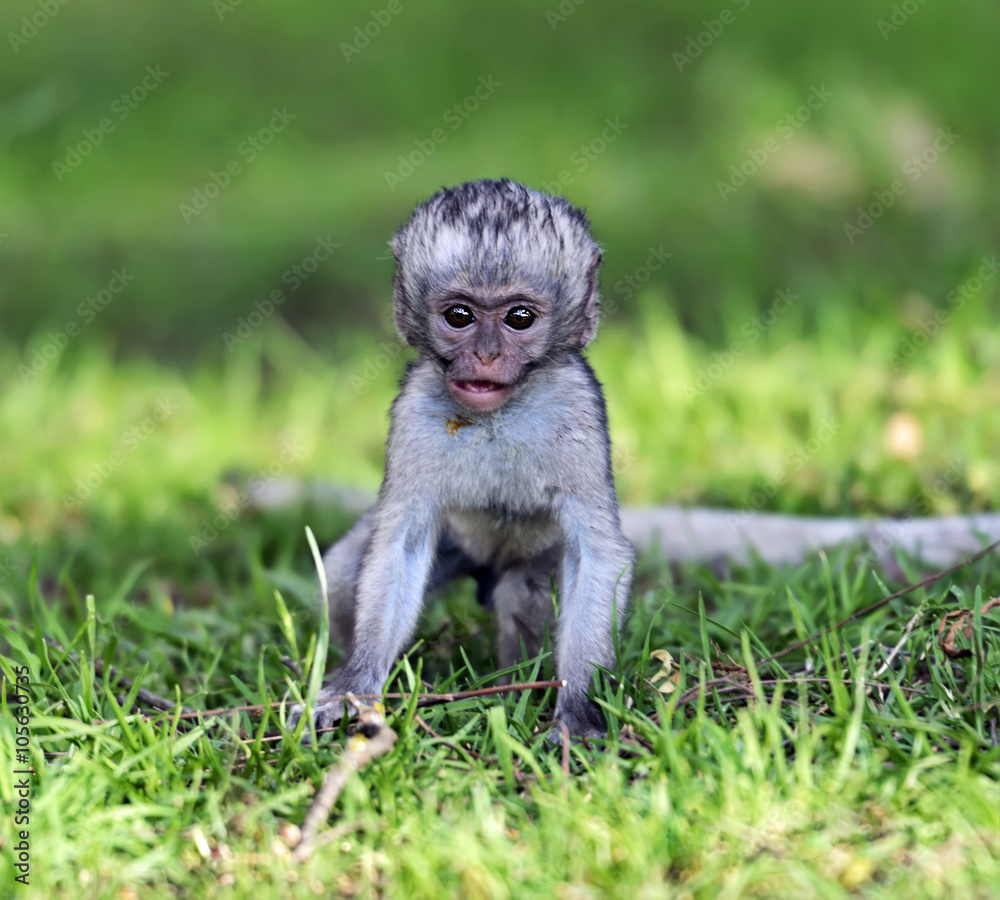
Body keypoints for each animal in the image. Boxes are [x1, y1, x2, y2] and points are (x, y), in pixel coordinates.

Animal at [291, 178, 634, 740]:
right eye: (460, 316)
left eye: (519, 318)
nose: (487, 356)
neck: (497, 417)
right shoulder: (414, 410)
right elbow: (399, 548)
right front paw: (352, 687)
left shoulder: (578, 406)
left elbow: (597, 555)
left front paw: (580, 714)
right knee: (342, 575)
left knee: (521, 593)